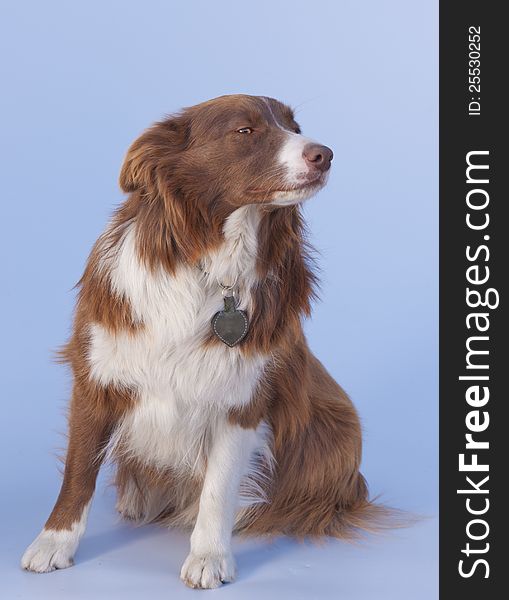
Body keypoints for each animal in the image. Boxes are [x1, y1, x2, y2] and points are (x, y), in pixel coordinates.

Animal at [19, 95, 380, 592]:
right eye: (245, 131)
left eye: (294, 127)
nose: (324, 154)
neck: (214, 262)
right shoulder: (97, 374)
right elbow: (78, 470)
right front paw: (54, 543)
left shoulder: (242, 401)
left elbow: (219, 486)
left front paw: (209, 556)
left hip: (339, 427)